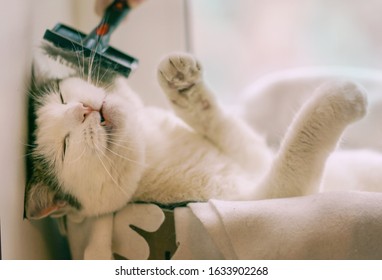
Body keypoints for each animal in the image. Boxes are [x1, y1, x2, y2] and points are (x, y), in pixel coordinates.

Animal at [25, 52, 368, 258]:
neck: (154, 150)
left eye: (62, 97)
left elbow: (215, 119)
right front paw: (343, 95)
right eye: (65, 145)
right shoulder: (272, 194)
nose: (82, 110)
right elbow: (298, 144)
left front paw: (183, 85)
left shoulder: (252, 156)